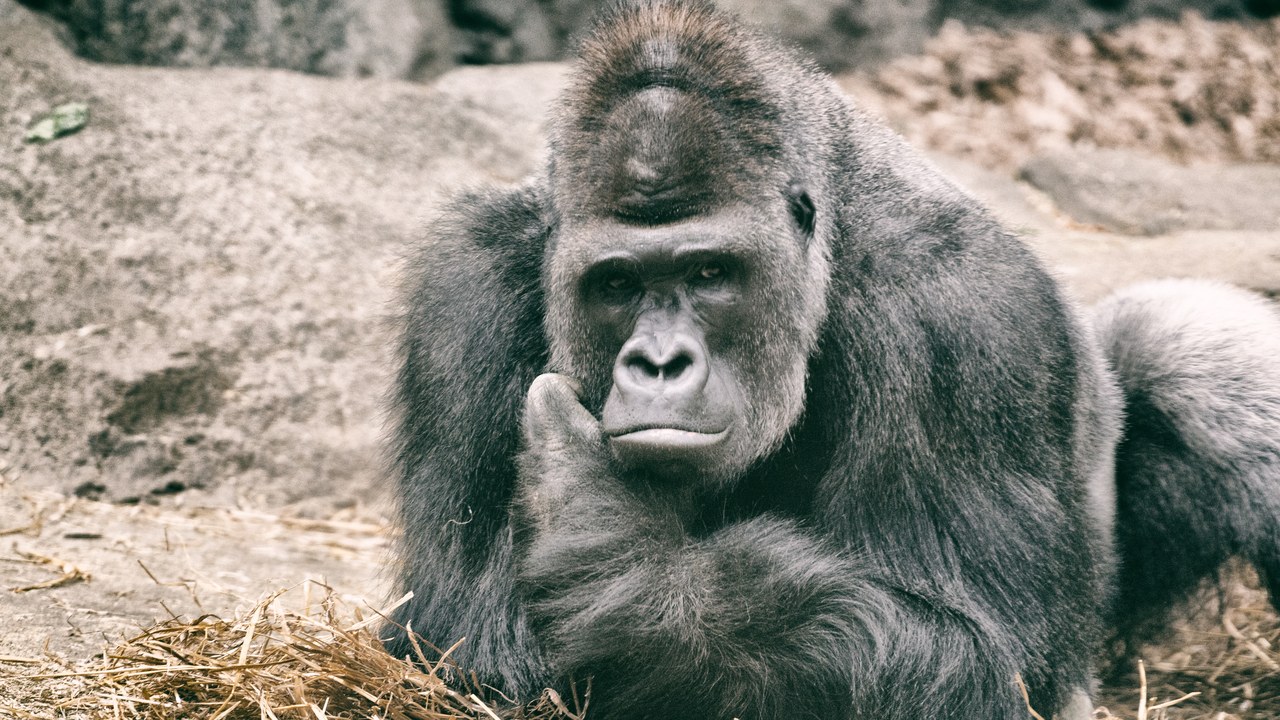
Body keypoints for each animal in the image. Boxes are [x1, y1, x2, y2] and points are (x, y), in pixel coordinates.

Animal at [384, 2, 1280, 718]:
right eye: (616, 284)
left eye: (710, 274)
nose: (659, 363)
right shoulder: (466, 288)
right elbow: (464, 636)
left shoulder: (961, 312)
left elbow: (984, 654)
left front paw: (611, 543)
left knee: (1190, 355)